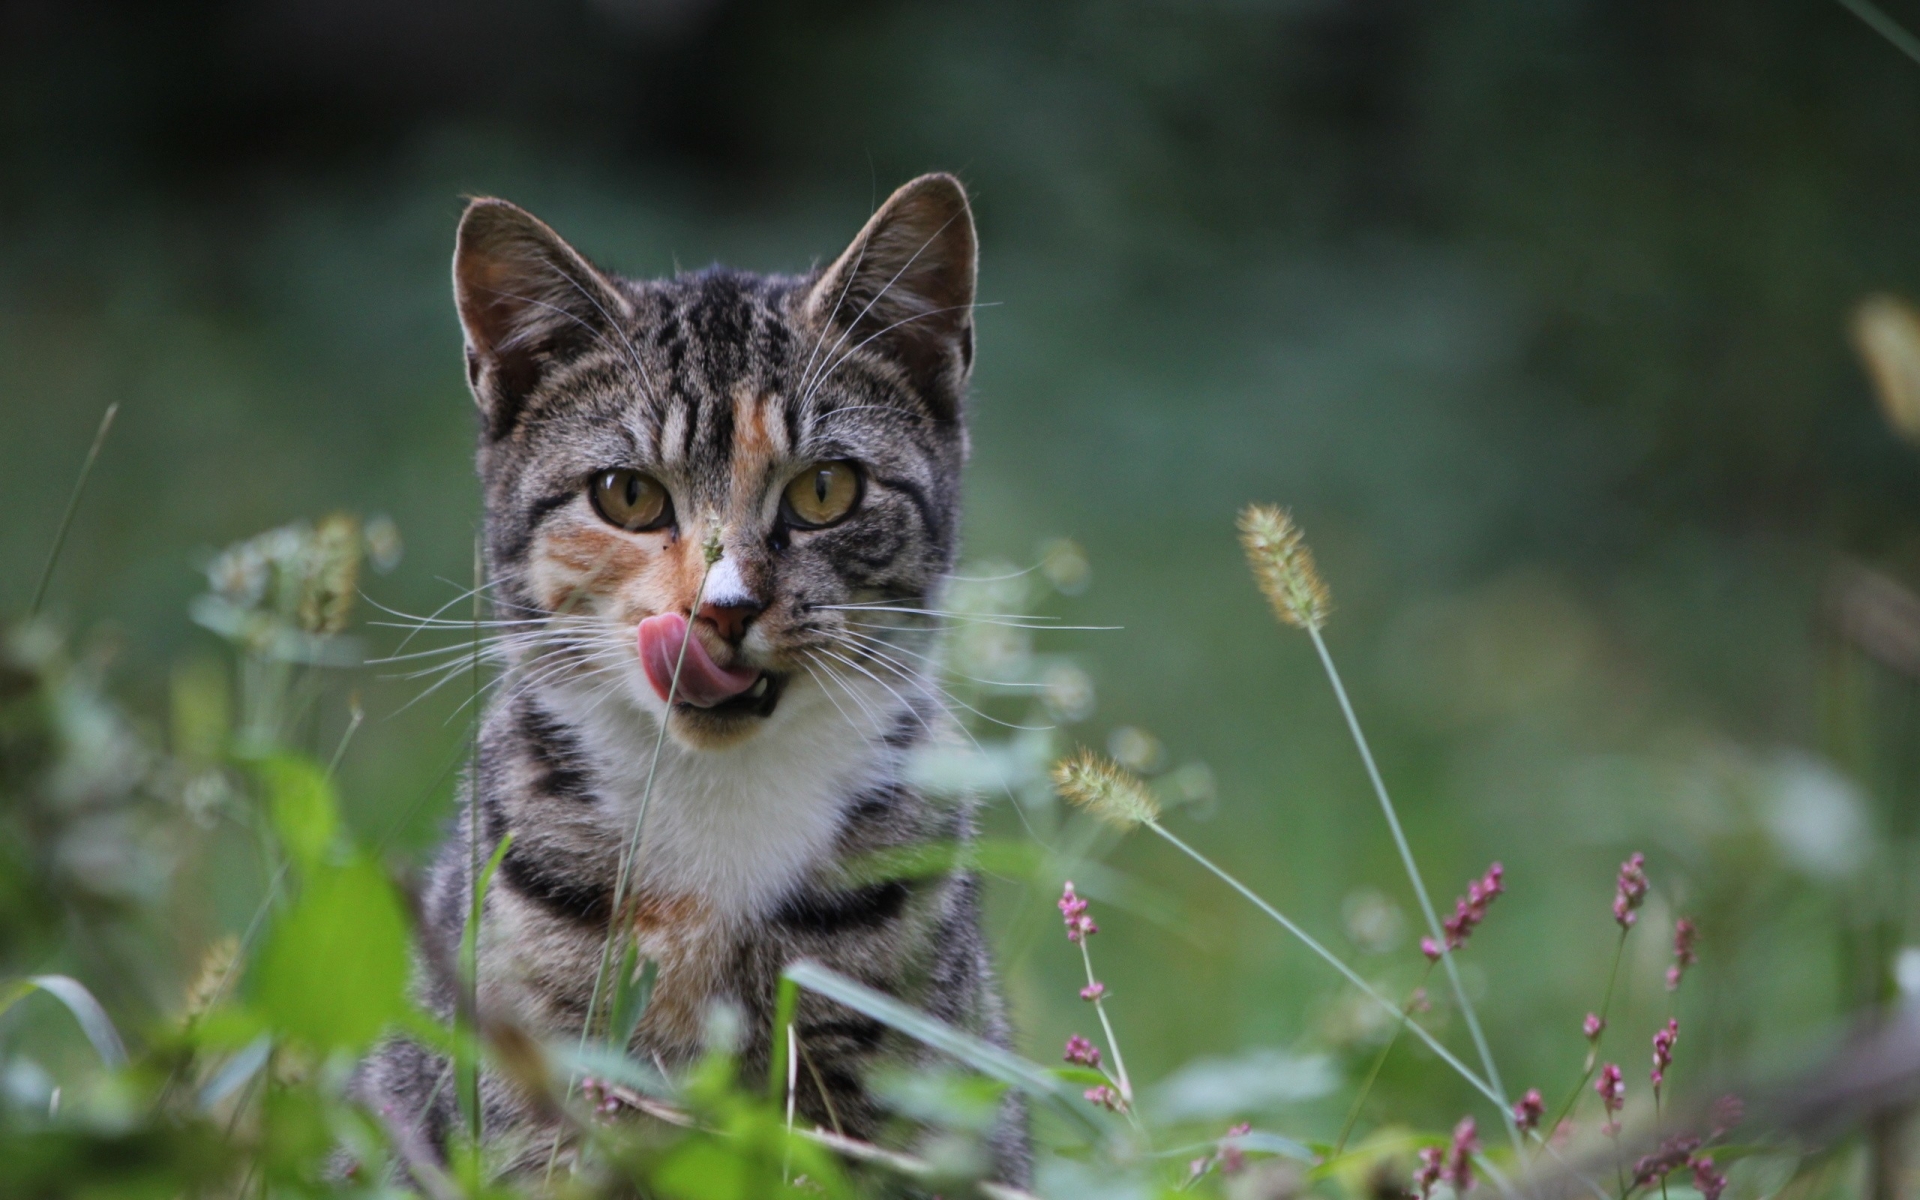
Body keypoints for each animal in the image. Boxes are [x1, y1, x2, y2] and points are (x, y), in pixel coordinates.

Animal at [353, 172, 1029, 1182]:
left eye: (825, 490)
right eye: (627, 495)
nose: (723, 608)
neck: (719, 806)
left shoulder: (893, 1081)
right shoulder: (528, 1092)